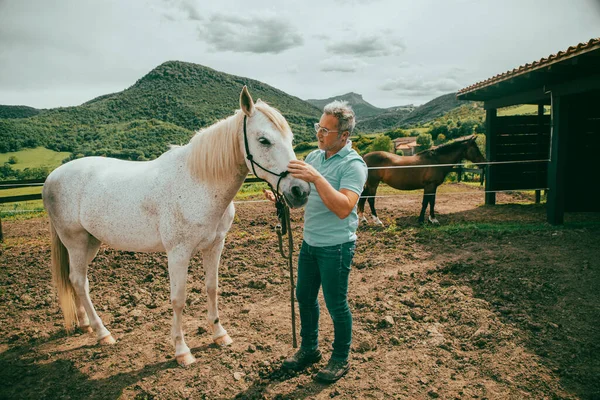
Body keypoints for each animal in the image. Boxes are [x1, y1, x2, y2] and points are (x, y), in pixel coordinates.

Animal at [43, 86, 310, 366]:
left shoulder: (215, 246)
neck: (198, 183)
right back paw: (102, 333)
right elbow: (178, 299)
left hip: (90, 242)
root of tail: (51, 177)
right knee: (79, 281)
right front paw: (182, 351)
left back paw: (85, 325)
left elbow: (212, 288)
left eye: (291, 139)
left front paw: (219, 335)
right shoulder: (178, 253)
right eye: (264, 140)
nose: (300, 191)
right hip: (75, 241)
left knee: (74, 280)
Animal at [358, 135, 486, 225]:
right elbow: (426, 202)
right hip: (373, 184)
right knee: (370, 200)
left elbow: (431, 202)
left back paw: (363, 218)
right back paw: (377, 221)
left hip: (369, 184)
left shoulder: (432, 187)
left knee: (363, 198)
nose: (484, 163)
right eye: (476, 148)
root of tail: (364, 157)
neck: (437, 161)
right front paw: (422, 220)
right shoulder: (430, 185)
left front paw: (432, 219)